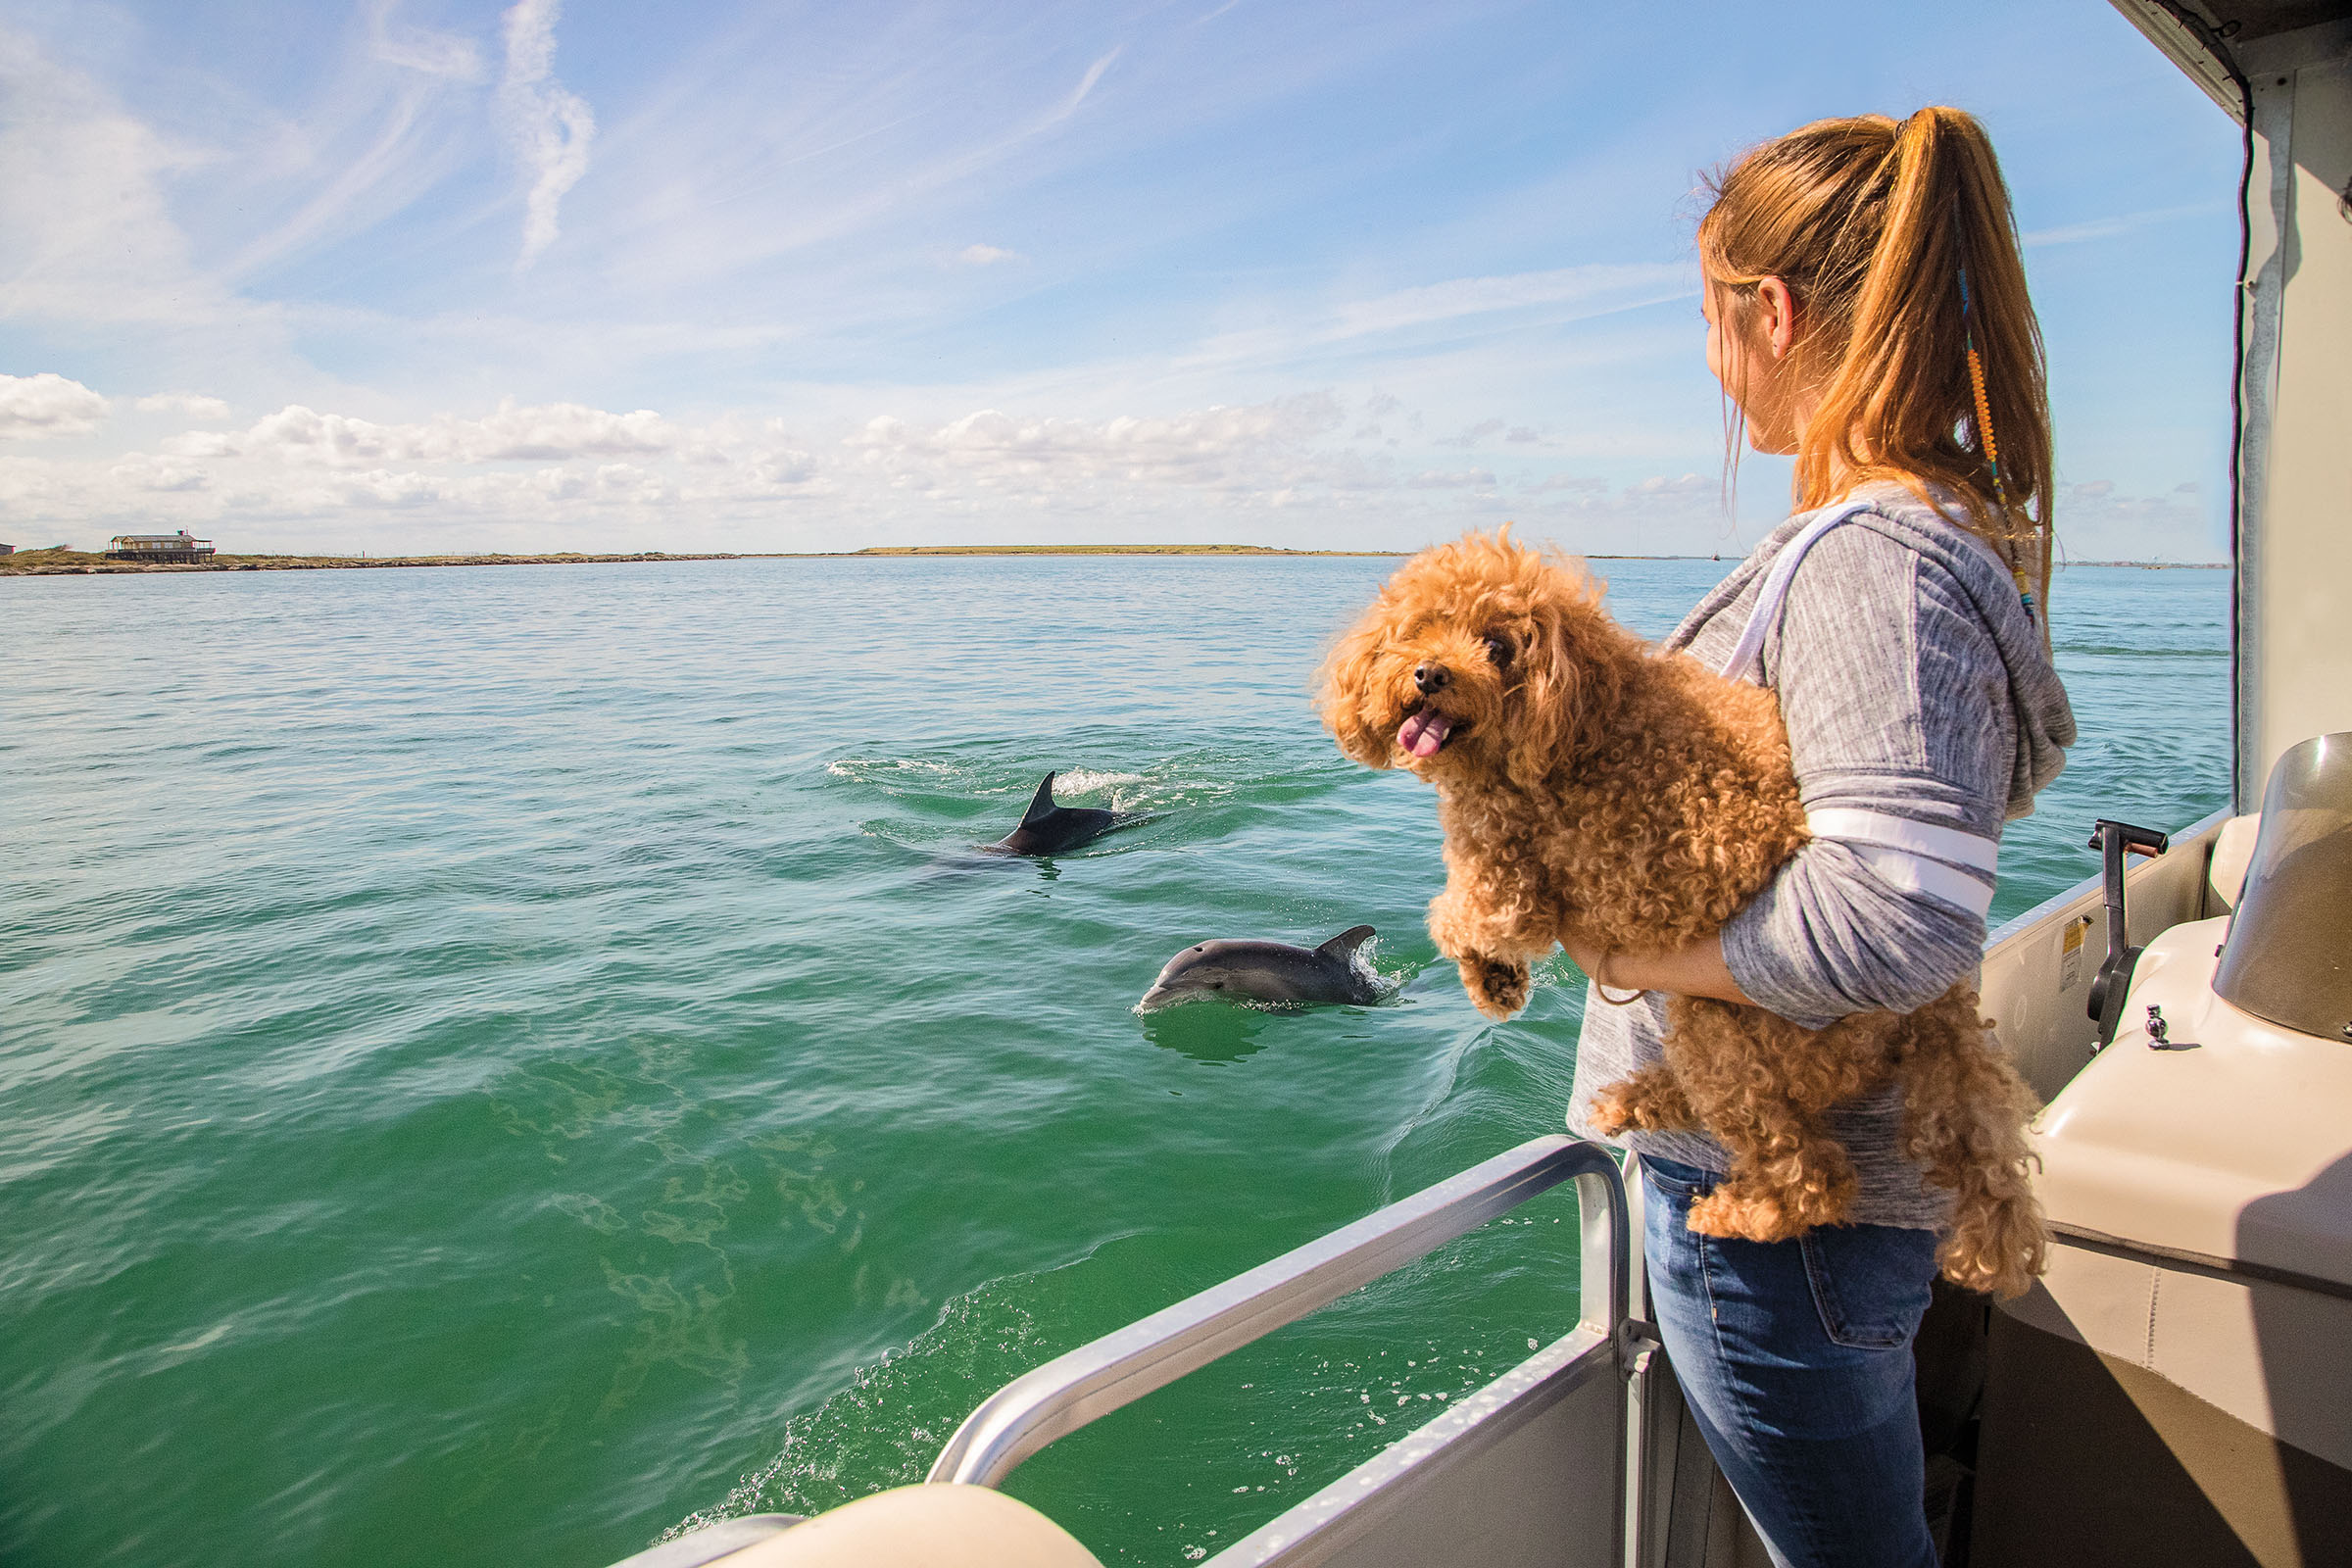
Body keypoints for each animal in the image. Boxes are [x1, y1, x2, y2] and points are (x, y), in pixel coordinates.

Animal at [1326, 526, 2041, 1298]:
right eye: (1420, 628)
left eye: (1497, 645)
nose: (1429, 674)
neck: (1581, 719)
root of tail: (1939, 1006)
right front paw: (1498, 980)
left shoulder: (1507, 866)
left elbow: (1462, 916)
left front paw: (1488, 977)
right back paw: (1636, 1102)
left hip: (1731, 1022)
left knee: (1809, 1172)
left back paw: (1742, 1210)